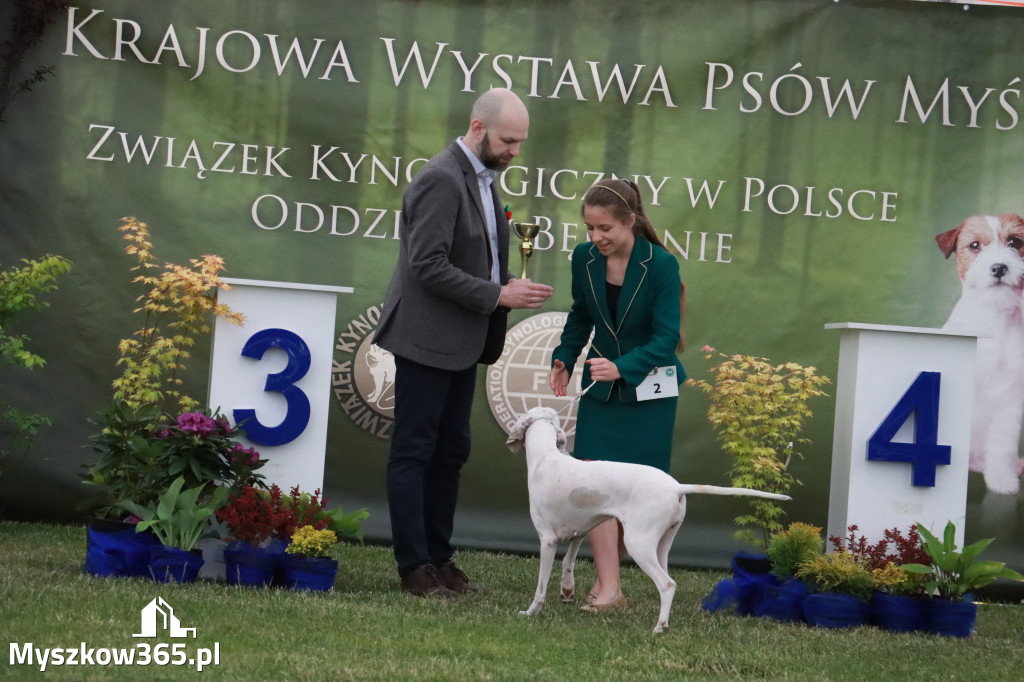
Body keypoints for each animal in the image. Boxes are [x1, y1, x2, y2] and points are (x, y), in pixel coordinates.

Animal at [505, 403, 790, 630]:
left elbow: (541, 586)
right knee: (669, 580)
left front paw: (531, 612)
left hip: (638, 544)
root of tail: (676, 487)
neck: (546, 457)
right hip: (662, 545)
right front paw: (567, 592)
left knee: (667, 584)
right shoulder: (580, 531)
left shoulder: (547, 539)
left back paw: (659, 626)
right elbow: (568, 563)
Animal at [937, 214, 1024, 493]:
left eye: (1015, 242)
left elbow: (1001, 444)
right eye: (975, 245)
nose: (999, 267)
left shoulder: (1011, 400)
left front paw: (1002, 480)